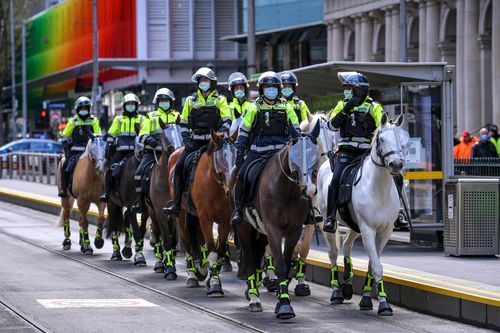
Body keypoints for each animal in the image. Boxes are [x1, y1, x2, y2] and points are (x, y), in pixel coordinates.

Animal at [166, 130, 236, 294]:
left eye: (236, 155)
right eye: (220, 159)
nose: (230, 191)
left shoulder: (225, 221)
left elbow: (220, 251)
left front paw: (211, 277)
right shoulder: (206, 218)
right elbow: (212, 251)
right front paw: (215, 284)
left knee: (197, 239)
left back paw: (201, 269)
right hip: (182, 214)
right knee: (186, 240)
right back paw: (192, 275)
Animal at [237, 120, 322, 318]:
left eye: (314, 154)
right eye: (295, 155)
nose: (310, 189)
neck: (287, 190)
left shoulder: (295, 229)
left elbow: (289, 260)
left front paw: (283, 296)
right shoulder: (273, 229)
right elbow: (280, 265)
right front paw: (284, 305)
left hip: (260, 232)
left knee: (257, 255)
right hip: (245, 228)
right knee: (250, 258)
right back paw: (254, 298)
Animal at [316, 113, 410, 316]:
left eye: (403, 139)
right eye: (381, 139)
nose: (396, 164)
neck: (379, 189)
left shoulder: (384, 232)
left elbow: (372, 265)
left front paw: (367, 298)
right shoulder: (368, 230)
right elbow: (377, 266)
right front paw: (384, 304)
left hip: (354, 225)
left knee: (346, 245)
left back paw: (347, 284)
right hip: (328, 222)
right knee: (333, 253)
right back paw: (336, 291)